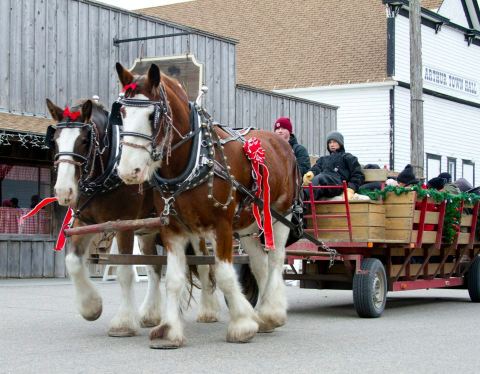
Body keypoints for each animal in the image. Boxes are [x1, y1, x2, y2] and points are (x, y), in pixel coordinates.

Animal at [114, 63, 298, 348]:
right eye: (122, 112)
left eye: (152, 115)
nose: (128, 170)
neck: (194, 160)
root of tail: (281, 143)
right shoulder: (173, 229)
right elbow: (174, 280)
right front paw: (169, 330)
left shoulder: (221, 226)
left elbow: (224, 275)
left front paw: (242, 325)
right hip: (247, 224)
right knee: (259, 263)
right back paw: (263, 316)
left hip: (279, 215)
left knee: (276, 259)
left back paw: (271, 312)